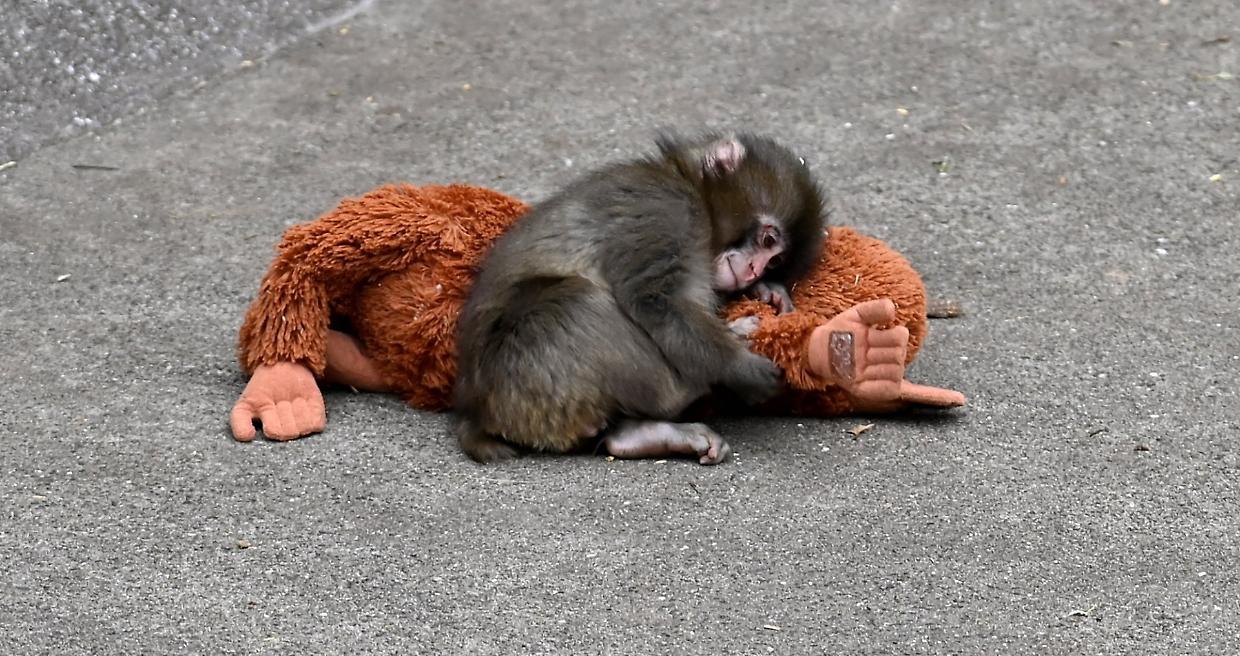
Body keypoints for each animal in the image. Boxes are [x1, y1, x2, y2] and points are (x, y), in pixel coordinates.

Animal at [452, 132, 826, 465]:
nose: (753, 271)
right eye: (767, 240)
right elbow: (655, 299)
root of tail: (477, 412)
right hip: (524, 375)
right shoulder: (665, 210)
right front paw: (739, 367)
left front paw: (767, 291)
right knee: (578, 301)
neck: (690, 188)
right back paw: (691, 386)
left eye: (775, 261)